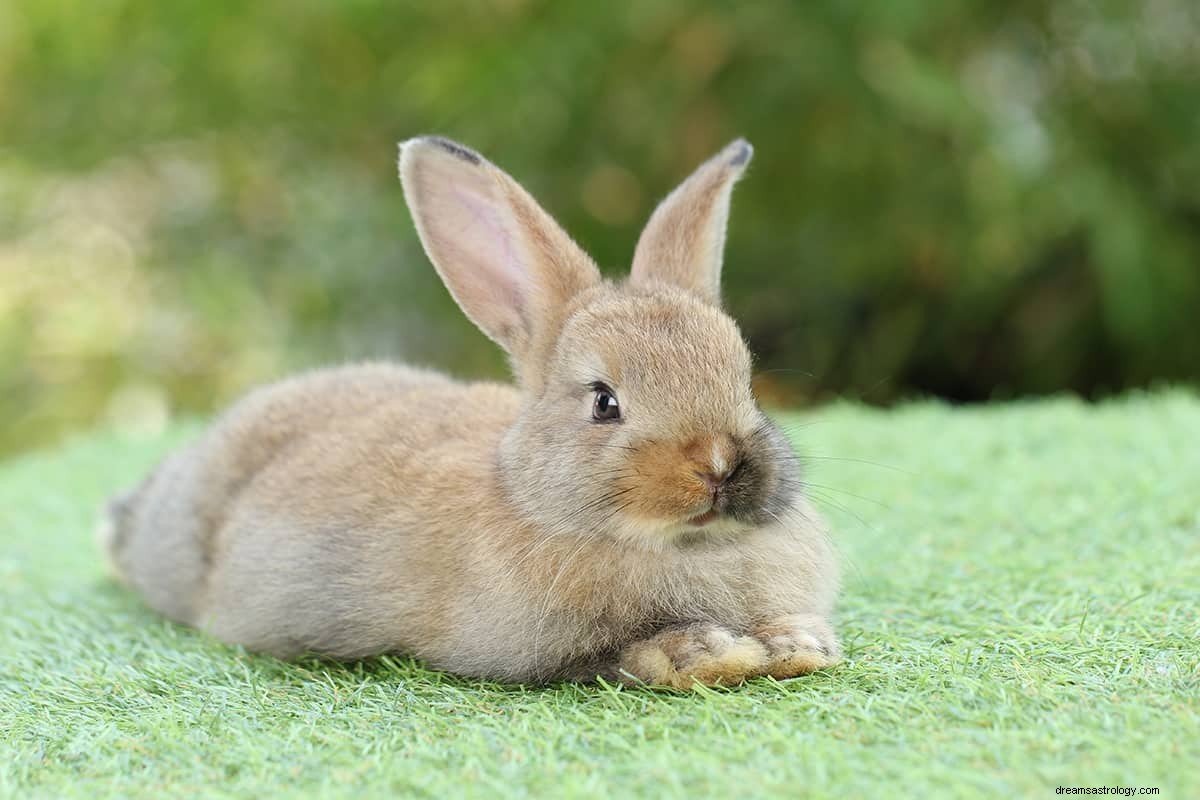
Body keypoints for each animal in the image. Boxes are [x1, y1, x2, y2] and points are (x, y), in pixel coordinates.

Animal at [98, 136, 840, 690]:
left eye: (745, 380)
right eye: (604, 402)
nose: (718, 465)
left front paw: (799, 644)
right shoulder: (534, 648)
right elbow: (620, 655)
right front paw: (711, 655)